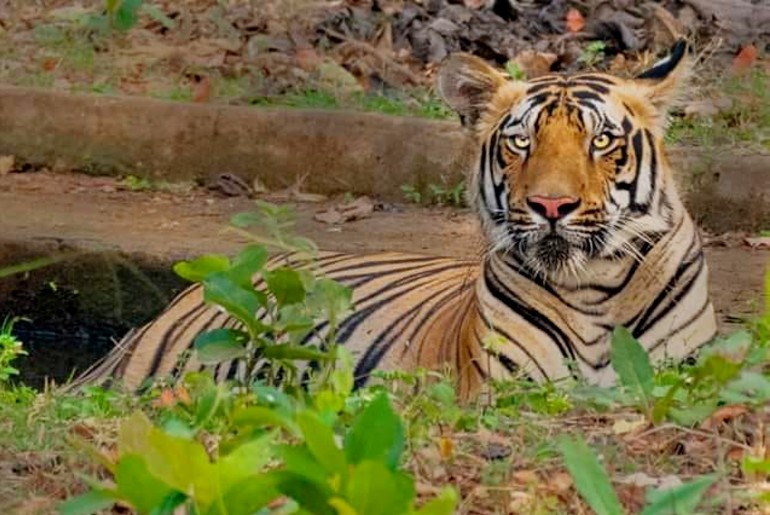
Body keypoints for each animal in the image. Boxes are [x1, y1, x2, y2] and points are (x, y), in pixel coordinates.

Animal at [73, 39, 712, 400]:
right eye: (521, 143)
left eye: (600, 141)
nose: (550, 207)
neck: (593, 290)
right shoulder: (503, 390)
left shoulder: (688, 369)